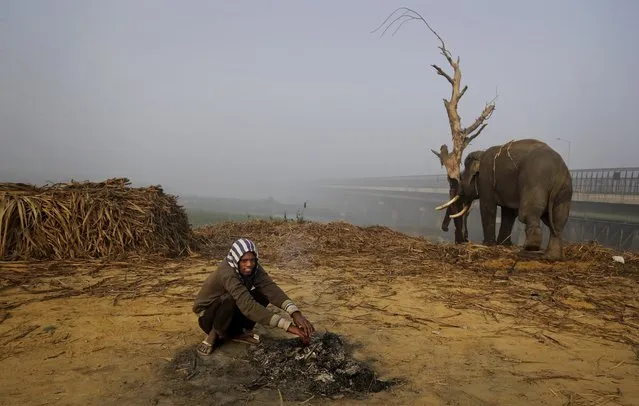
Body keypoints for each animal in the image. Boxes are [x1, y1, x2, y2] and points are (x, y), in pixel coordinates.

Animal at [440, 140, 576, 260]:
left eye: (461, 178)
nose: (445, 229)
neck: (481, 154)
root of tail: (559, 169)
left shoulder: (486, 179)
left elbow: (487, 207)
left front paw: (488, 244)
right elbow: (508, 213)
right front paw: (503, 244)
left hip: (535, 181)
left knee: (527, 214)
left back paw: (528, 248)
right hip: (564, 189)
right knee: (557, 222)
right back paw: (551, 257)